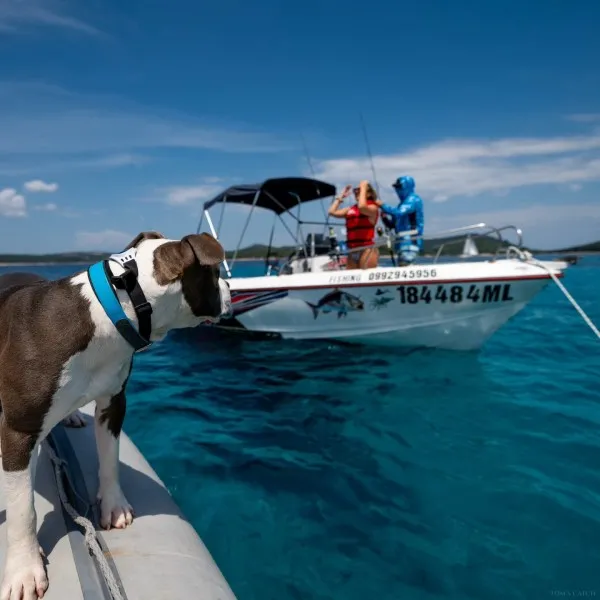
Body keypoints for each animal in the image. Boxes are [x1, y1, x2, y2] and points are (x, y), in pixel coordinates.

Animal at [0, 231, 231, 600]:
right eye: (214, 274)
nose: (229, 288)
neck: (117, 307)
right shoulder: (19, 430)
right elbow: (23, 509)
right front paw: (23, 568)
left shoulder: (113, 402)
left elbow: (109, 459)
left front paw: (114, 506)